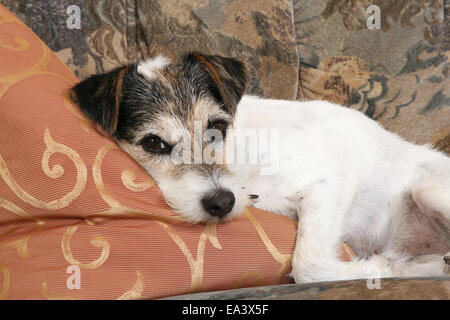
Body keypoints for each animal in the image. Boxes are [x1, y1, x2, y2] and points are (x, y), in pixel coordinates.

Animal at [68, 52, 448, 282]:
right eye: (153, 143)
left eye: (217, 127)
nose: (222, 202)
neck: (242, 169)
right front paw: (388, 266)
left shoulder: (328, 184)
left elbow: (307, 265)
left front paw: (377, 267)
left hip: (427, 189)